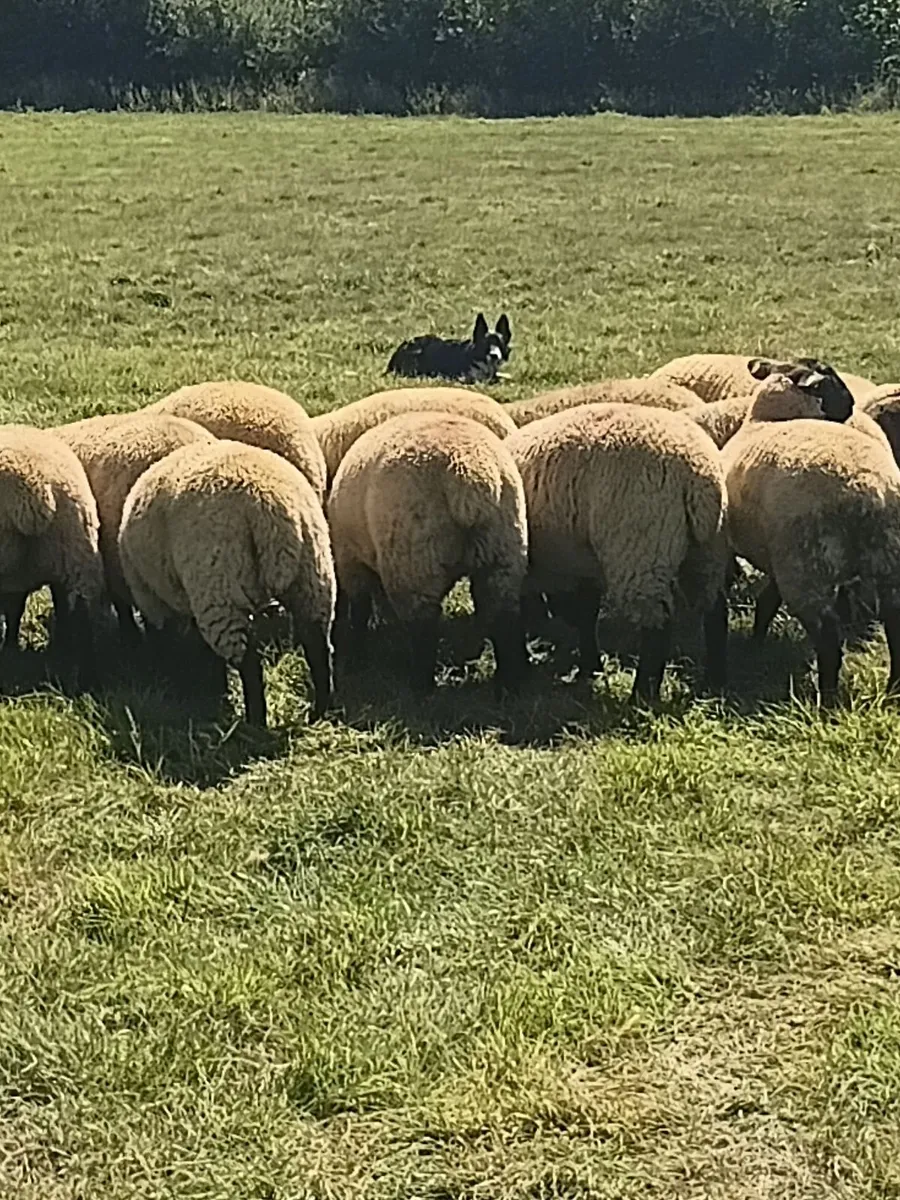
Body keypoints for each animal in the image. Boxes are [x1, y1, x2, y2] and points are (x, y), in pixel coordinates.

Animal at [118, 438, 336, 727]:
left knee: (249, 663)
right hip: (313, 574)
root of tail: (270, 508)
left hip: (218, 587)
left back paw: (255, 722)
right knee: (317, 646)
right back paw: (320, 712)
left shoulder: (153, 599)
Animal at [327, 411, 529, 695]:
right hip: (502, 550)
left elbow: (360, 609)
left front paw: (355, 655)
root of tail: (469, 472)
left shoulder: (351, 560)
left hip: (414, 562)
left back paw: (419, 688)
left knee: (423, 630)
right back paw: (510, 683)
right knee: (504, 618)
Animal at [506, 403, 730, 703]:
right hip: (706, 551)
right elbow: (585, 615)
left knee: (657, 625)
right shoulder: (580, 565)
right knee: (715, 608)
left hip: (638, 550)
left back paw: (642, 695)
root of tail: (700, 477)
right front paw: (590, 667)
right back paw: (713, 682)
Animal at [721, 366, 900, 704]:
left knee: (829, 638)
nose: (851, 406)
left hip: (807, 566)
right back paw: (893, 689)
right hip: (886, 558)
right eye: (833, 384)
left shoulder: (780, 558)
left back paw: (827, 702)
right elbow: (767, 601)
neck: (764, 419)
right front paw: (756, 643)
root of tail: (870, 489)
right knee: (896, 626)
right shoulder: (776, 555)